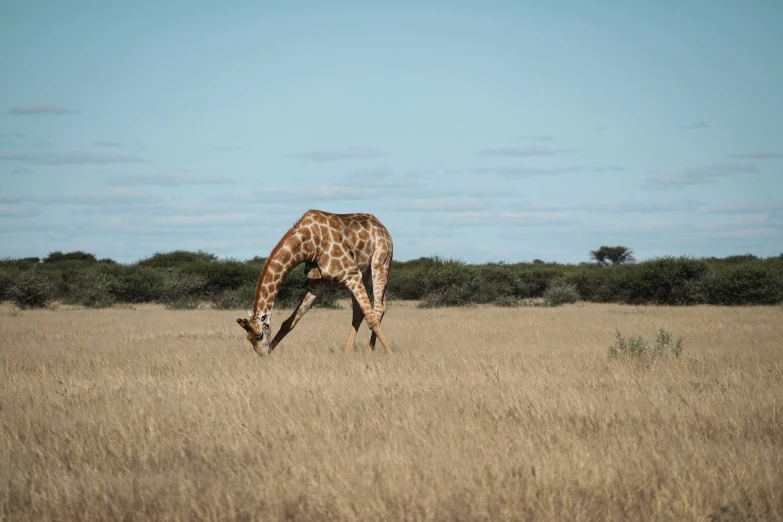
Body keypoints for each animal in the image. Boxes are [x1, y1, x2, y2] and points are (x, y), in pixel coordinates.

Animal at [233, 209, 392, 356]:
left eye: (259, 335)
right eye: (248, 338)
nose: (262, 354)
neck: (309, 245)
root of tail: (382, 227)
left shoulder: (351, 274)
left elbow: (371, 319)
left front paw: (390, 352)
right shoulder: (316, 285)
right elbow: (288, 323)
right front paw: (271, 351)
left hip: (380, 263)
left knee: (377, 309)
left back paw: (370, 350)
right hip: (363, 274)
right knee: (360, 312)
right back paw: (347, 351)